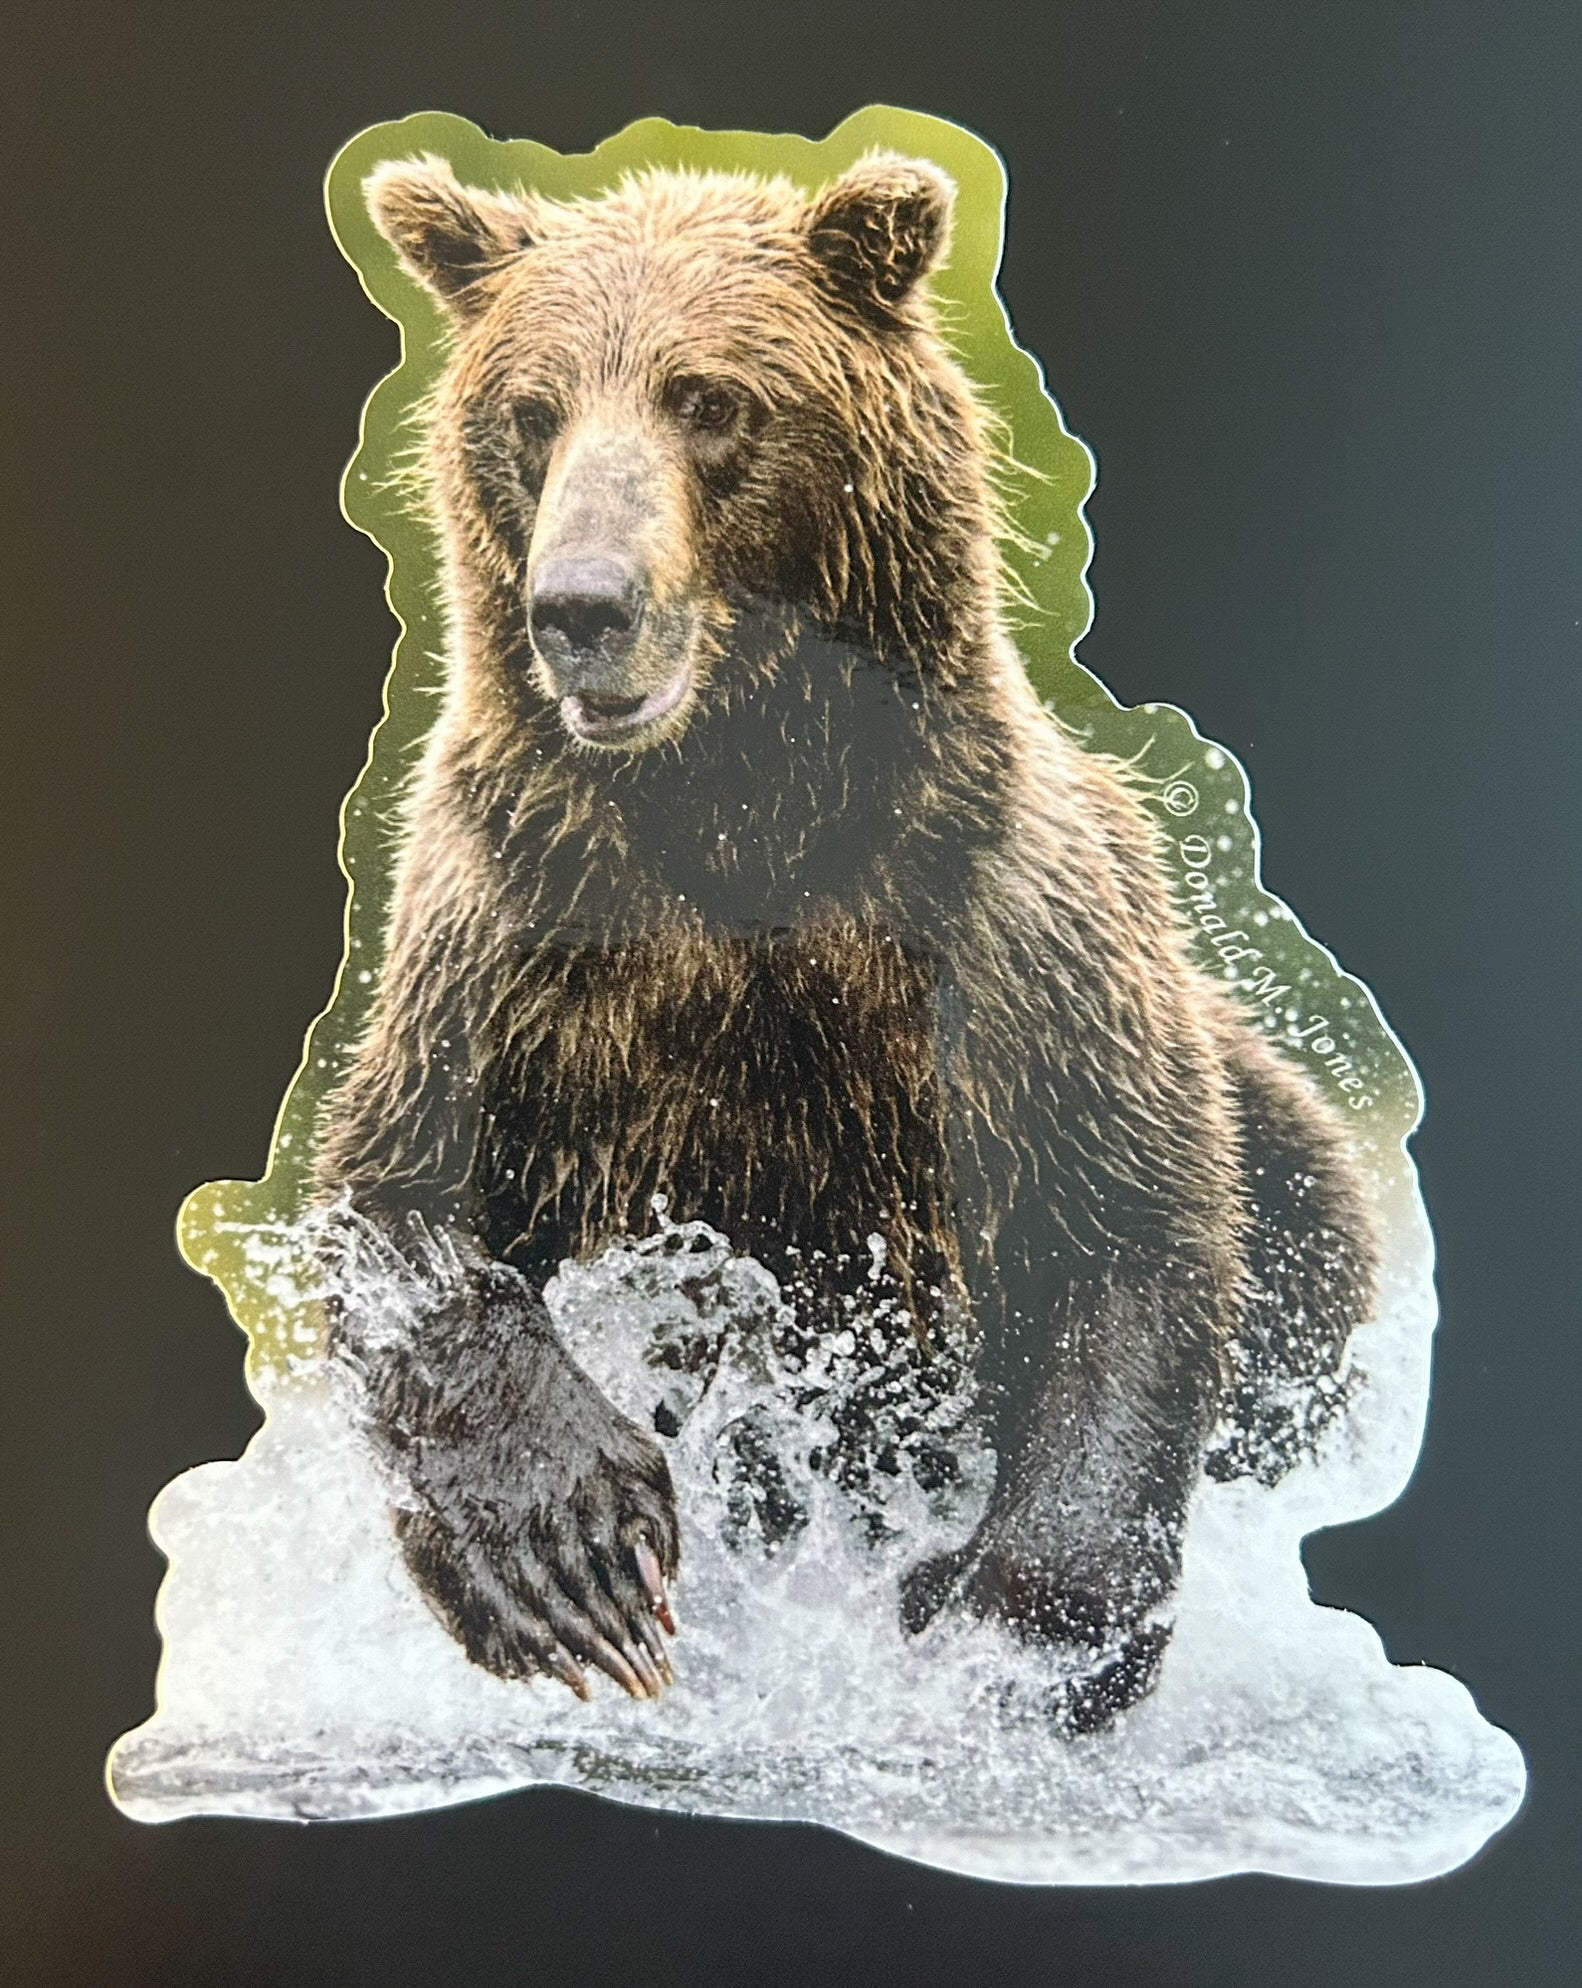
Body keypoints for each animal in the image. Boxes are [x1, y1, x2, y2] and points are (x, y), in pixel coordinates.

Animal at [315, 149, 1377, 1731]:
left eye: (707, 398)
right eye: (534, 410)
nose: (579, 606)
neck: (739, 808)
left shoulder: (994, 925)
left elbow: (1124, 1226)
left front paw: (1007, 1626)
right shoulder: (519, 933)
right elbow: (398, 1204)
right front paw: (568, 1559)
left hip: (1287, 1148)